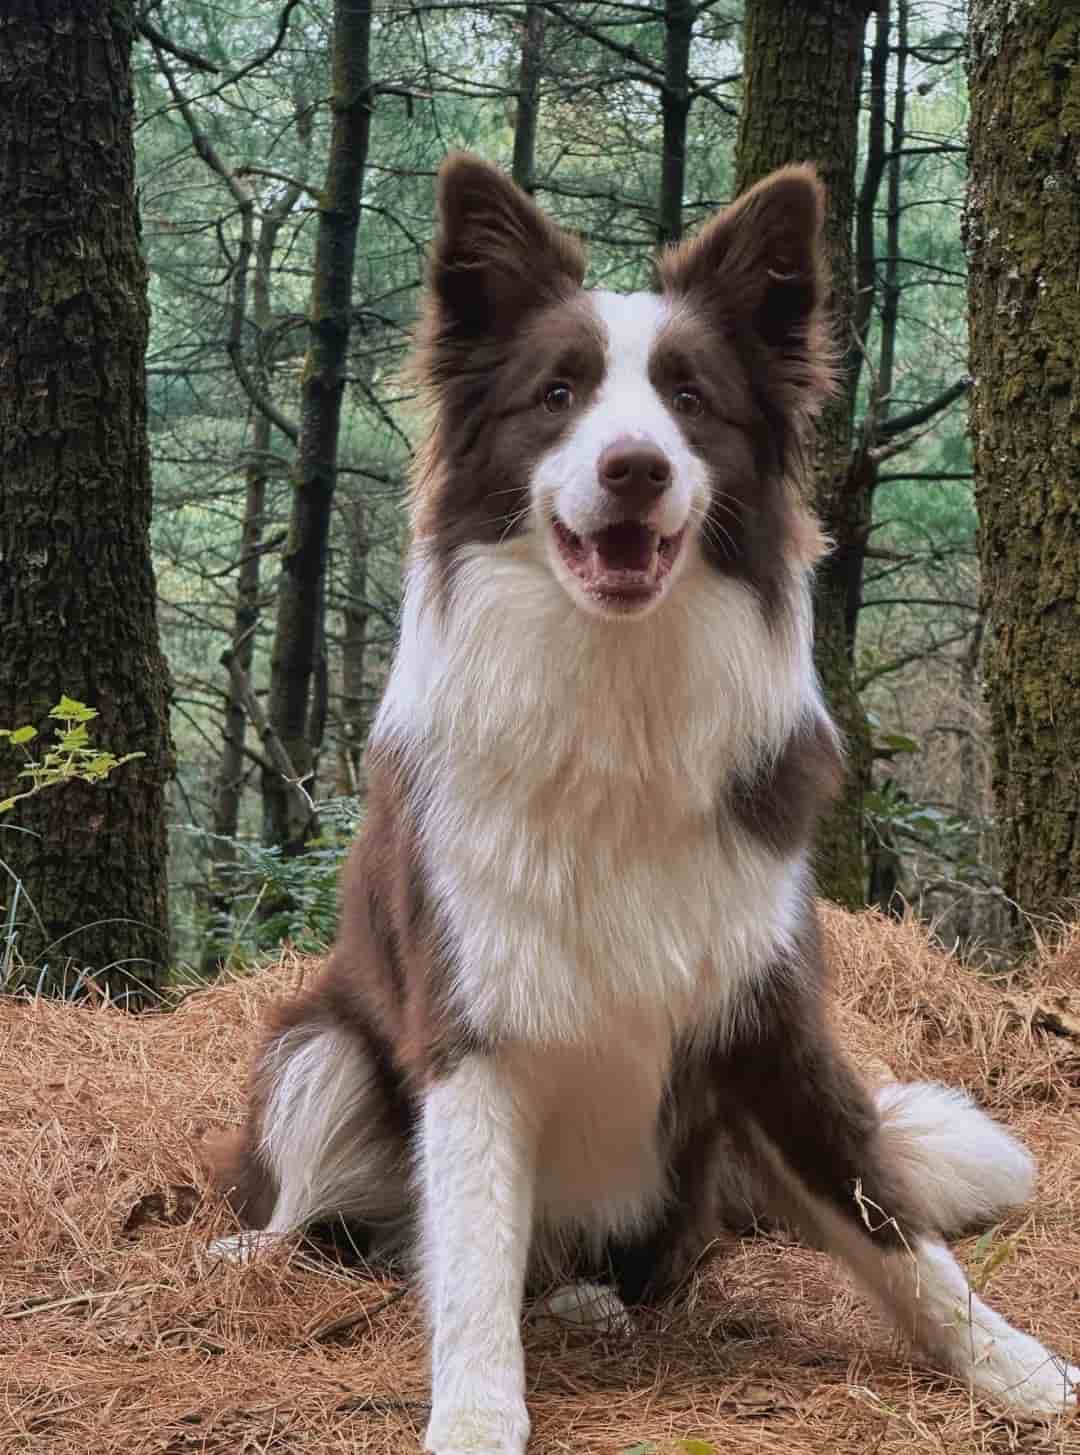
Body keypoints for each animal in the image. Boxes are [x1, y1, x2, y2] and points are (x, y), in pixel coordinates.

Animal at [206, 154, 1078, 1452]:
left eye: (691, 399)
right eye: (559, 394)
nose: (636, 467)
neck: (614, 697)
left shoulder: (768, 1018)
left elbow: (896, 1232)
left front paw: (1012, 1368)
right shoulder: (469, 1028)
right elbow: (470, 1260)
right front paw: (476, 1416)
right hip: (323, 1053)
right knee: (321, 1217)